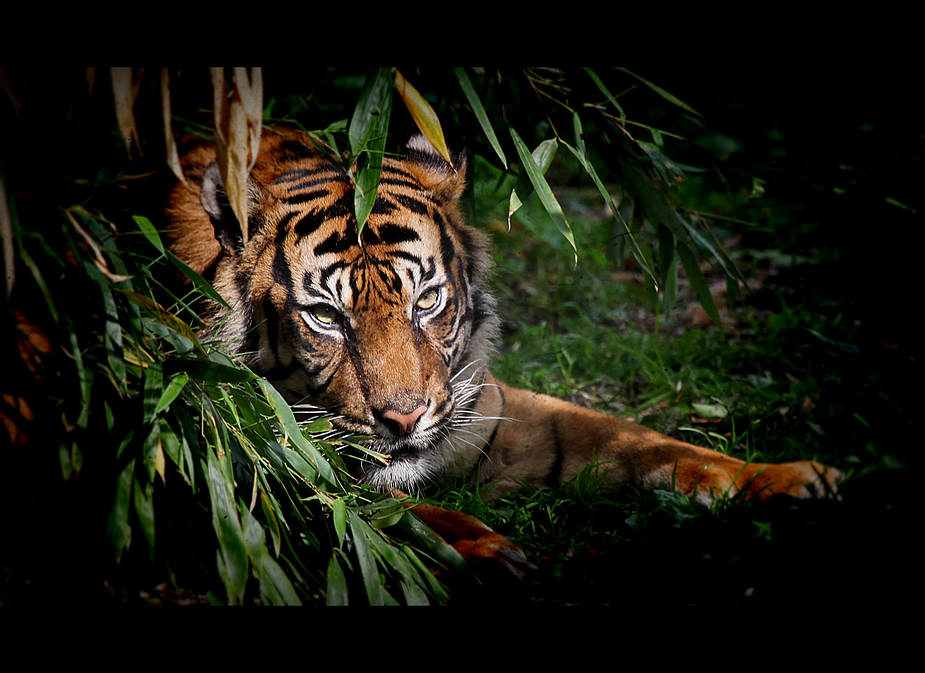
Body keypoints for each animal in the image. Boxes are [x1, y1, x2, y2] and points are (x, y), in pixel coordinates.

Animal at [162, 126, 840, 560]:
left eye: (426, 300)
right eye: (327, 317)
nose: (403, 420)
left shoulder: (491, 407)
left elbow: (636, 437)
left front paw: (785, 477)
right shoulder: (254, 448)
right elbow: (379, 510)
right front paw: (485, 549)